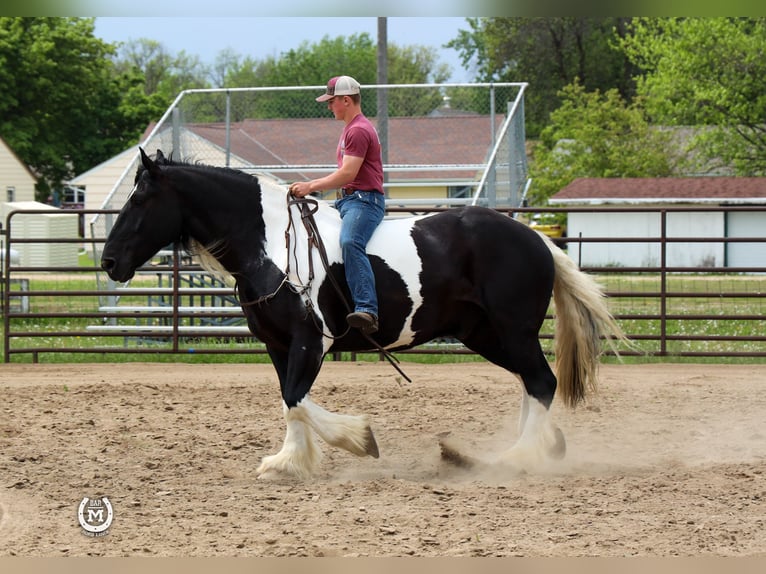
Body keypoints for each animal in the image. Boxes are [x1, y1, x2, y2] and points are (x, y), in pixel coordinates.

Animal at [102, 150, 628, 482]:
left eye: (140, 199)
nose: (108, 261)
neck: (272, 245)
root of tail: (538, 240)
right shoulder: (277, 345)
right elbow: (290, 403)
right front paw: (288, 463)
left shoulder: (312, 343)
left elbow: (295, 398)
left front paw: (358, 439)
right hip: (487, 336)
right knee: (530, 384)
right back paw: (531, 448)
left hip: (512, 331)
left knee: (541, 382)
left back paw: (516, 457)